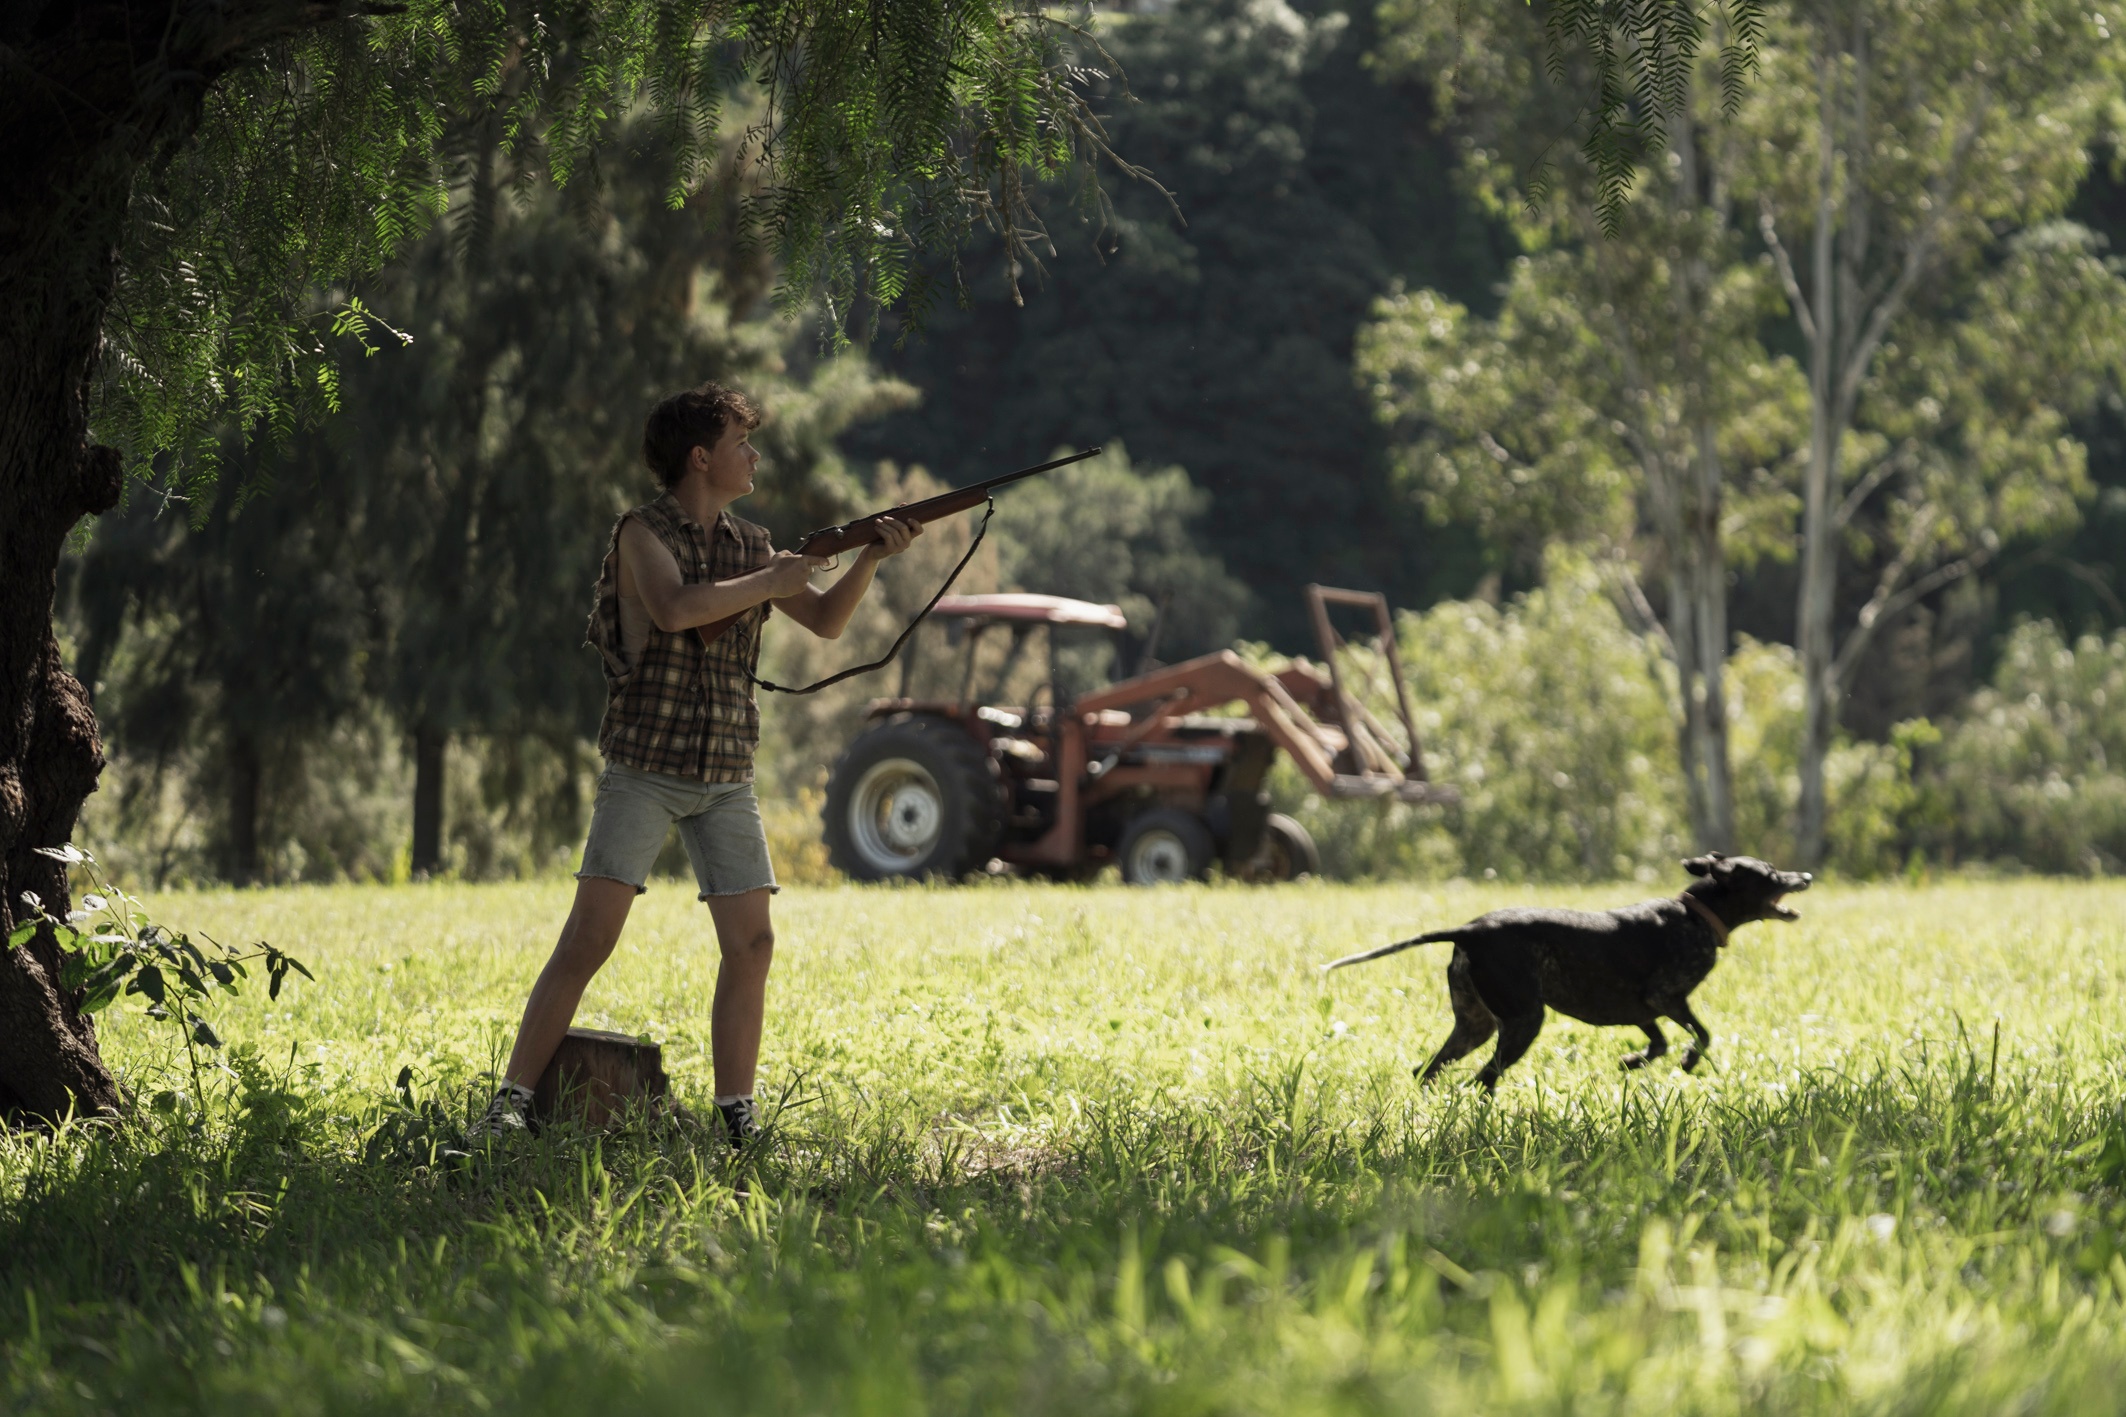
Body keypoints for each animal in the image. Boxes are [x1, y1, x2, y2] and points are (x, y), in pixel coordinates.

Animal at [1324, 853, 1811, 1090]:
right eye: (1770, 874)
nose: (1805, 876)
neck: (1696, 914)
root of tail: (1472, 930)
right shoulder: (1666, 997)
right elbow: (1702, 1035)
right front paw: (1689, 1060)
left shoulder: (1641, 1010)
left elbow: (1658, 1043)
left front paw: (1632, 1062)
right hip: (1523, 1021)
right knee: (1483, 1079)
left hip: (1475, 1025)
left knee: (1428, 1071)